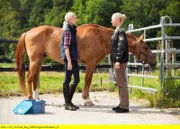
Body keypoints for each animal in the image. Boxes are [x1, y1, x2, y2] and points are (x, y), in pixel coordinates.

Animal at [15, 23, 156, 105]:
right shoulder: (91, 64)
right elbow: (88, 80)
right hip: (35, 60)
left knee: (35, 76)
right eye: (146, 47)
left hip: (40, 59)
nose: (154, 62)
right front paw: (87, 99)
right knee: (30, 76)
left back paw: (37, 98)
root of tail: (28, 32)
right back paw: (30, 97)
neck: (100, 37)